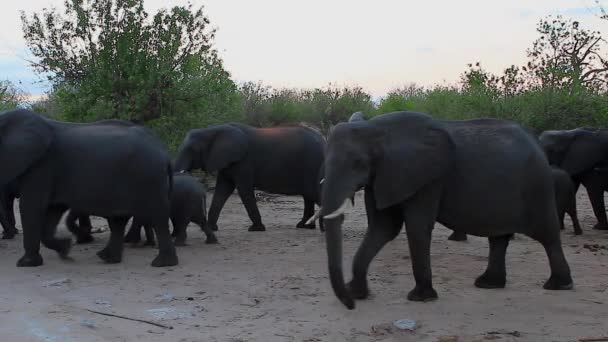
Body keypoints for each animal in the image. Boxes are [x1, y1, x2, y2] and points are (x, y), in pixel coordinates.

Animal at [0, 109, 177, 268]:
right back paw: (107, 258)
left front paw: (26, 264)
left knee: (157, 215)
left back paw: (161, 264)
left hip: (148, 176)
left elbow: (31, 206)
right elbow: (53, 209)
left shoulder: (41, 166)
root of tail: (164, 152)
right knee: (120, 218)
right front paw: (65, 249)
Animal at [173, 123, 326, 232]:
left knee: (313, 193)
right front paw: (212, 228)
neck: (212, 130)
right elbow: (222, 190)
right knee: (308, 196)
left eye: (193, 150)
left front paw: (256, 229)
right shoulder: (227, 162)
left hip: (312, 165)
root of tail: (323, 139)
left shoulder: (244, 162)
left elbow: (244, 190)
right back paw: (304, 226)